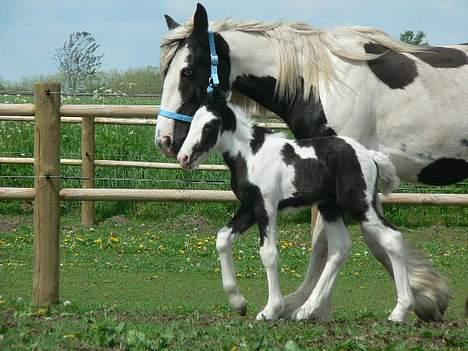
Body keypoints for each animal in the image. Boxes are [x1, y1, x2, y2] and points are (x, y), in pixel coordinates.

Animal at [177, 90, 412, 322]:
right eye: (192, 121)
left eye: (209, 125)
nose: (183, 158)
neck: (251, 155)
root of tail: (370, 155)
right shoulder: (249, 207)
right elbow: (223, 239)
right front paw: (239, 303)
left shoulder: (267, 206)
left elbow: (268, 253)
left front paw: (270, 310)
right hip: (330, 208)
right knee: (339, 248)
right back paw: (305, 310)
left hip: (359, 204)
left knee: (392, 237)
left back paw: (399, 312)